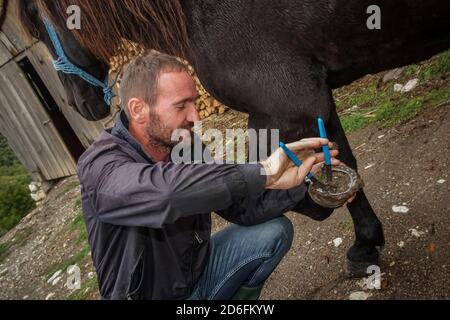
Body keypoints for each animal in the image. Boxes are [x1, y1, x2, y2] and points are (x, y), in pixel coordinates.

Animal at [19, 0, 450, 276]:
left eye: (39, 26)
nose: (77, 103)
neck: (196, 12)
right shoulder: (311, 99)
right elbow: (340, 158)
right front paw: (365, 241)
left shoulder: (285, 104)